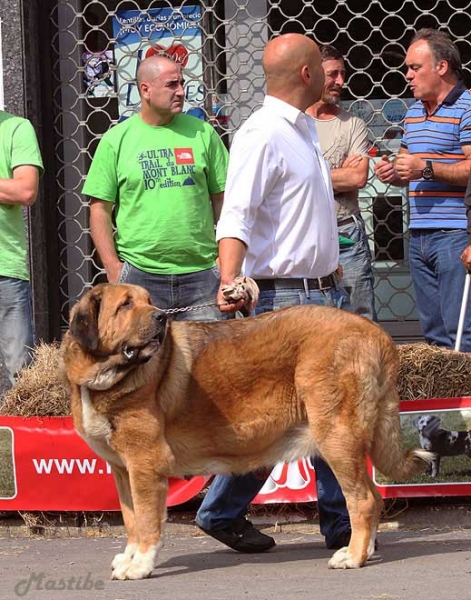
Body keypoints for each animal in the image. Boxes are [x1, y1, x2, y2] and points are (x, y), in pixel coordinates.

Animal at [60, 284, 434, 580]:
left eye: (147, 301)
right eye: (125, 305)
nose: (161, 318)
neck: (104, 373)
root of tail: (376, 334)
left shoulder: (145, 465)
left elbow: (148, 522)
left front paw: (140, 566)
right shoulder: (123, 470)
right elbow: (131, 519)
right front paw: (129, 557)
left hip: (336, 437)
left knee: (363, 499)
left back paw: (353, 557)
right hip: (347, 443)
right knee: (374, 495)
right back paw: (364, 550)